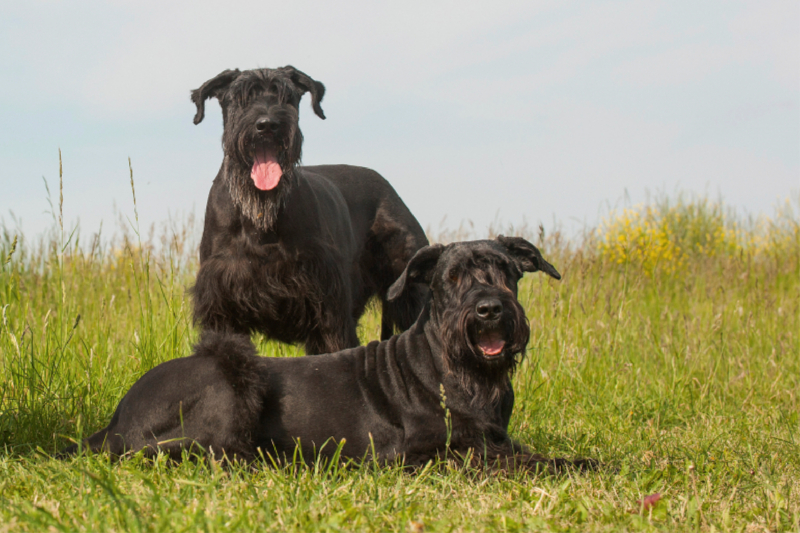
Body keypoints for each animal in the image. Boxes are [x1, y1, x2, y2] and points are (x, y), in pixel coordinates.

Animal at [64, 237, 580, 470]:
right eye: (451, 278)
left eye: (505, 270)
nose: (489, 310)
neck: (456, 368)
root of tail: (115, 420)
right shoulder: (423, 452)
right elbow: (509, 460)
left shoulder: (495, 436)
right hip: (231, 374)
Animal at [192, 66, 432, 354]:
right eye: (240, 97)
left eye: (288, 97)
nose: (268, 124)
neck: (260, 217)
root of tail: (389, 189)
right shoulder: (222, 309)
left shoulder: (328, 313)